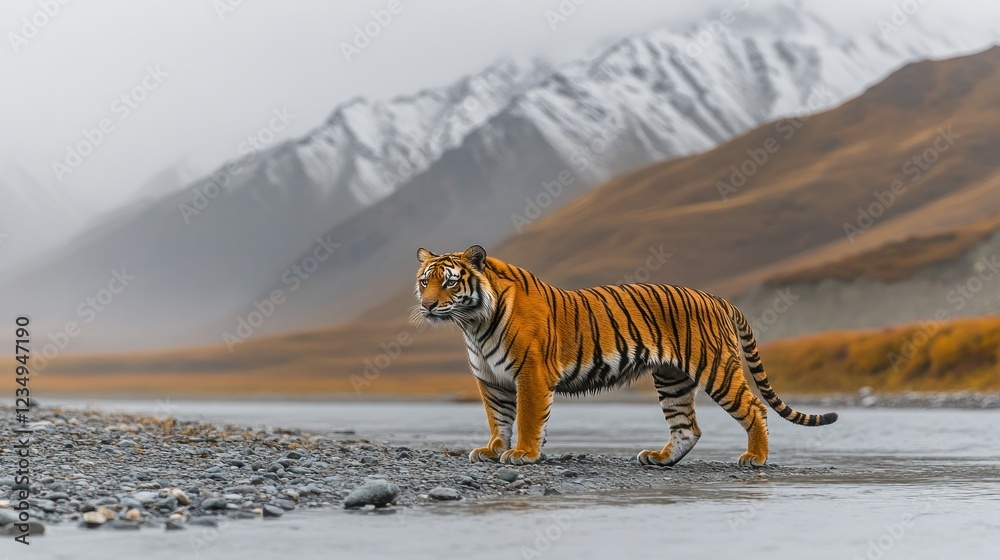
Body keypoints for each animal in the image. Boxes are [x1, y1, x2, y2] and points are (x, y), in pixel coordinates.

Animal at [414, 245, 838, 467]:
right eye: (424, 281)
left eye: (450, 283)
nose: (427, 305)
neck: (473, 323)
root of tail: (717, 298)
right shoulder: (490, 380)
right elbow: (498, 418)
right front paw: (493, 450)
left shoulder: (531, 374)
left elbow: (529, 418)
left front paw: (523, 454)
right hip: (672, 378)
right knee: (687, 426)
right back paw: (660, 458)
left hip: (715, 368)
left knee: (753, 407)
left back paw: (755, 457)